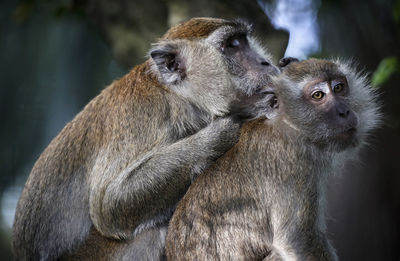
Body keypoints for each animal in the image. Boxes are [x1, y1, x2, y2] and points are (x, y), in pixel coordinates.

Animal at [10, 17, 276, 258]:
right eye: (232, 45)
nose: (266, 63)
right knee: (149, 233)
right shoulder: (145, 112)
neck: (177, 96)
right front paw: (224, 131)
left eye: (243, 41)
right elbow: (108, 204)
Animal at [165, 58, 382, 258]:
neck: (288, 126)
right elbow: (298, 240)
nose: (344, 111)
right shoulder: (293, 162)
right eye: (318, 95)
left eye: (339, 87)